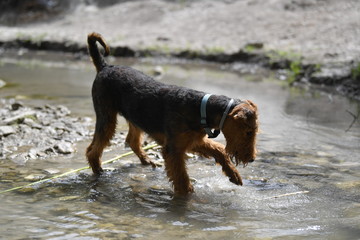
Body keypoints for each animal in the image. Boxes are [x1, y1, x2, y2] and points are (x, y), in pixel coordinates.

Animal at [85, 32, 258, 195]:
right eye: (248, 132)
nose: (251, 159)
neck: (201, 109)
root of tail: (105, 66)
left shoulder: (193, 142)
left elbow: (220, 150)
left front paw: (234, 175)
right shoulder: (174, 150)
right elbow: (182, 180)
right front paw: (185, 200)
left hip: (135, 118)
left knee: (131, 141)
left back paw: (147, 160)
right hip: (107, 117)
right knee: (92, 151)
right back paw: (98, 171)